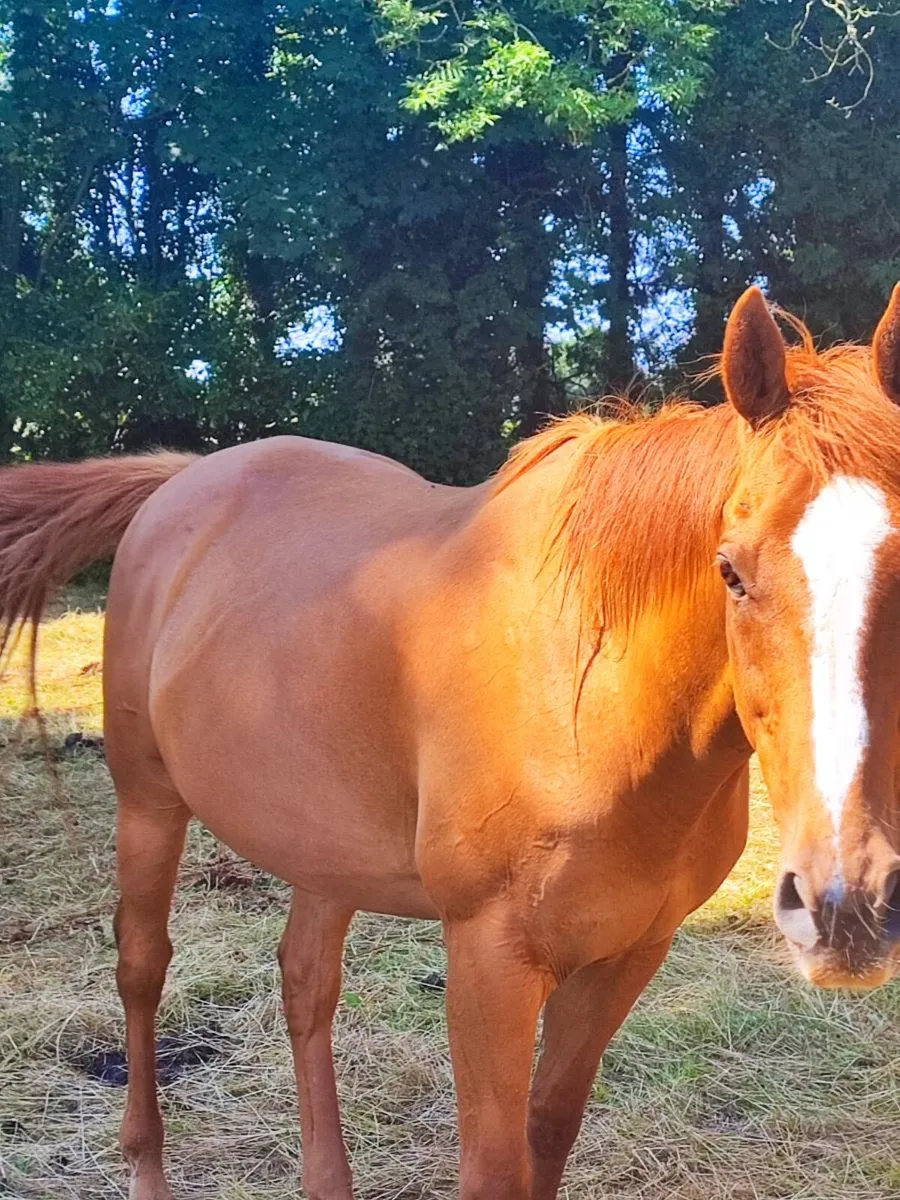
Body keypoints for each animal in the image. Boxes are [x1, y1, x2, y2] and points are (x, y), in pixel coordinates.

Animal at [3, 285, 900, 1200]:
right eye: (731, 571)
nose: (847, 906)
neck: (594, 695)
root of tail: (185, 481)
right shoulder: (489, 962)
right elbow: (494, 1166)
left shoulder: (625, 958)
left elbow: (549, 1131)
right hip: (148, 804)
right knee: (142, 967)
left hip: (322, 847)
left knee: (305, 984)